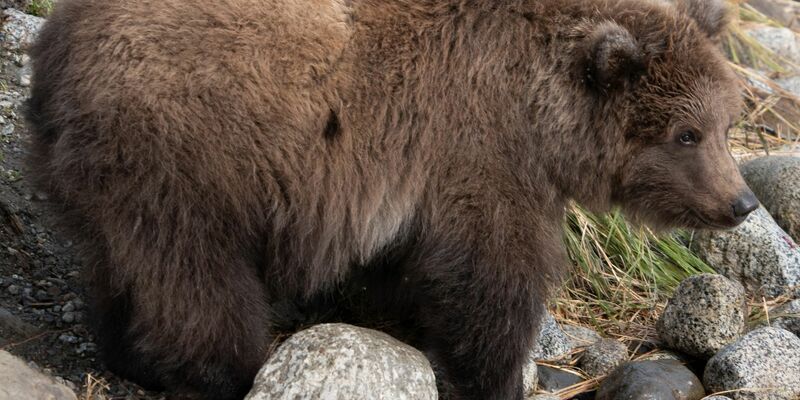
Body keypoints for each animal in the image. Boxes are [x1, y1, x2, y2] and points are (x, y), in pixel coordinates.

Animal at [24, 0, 758, 398]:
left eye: (726, 122)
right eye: (686, 133)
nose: (742, 201)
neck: (541, 106)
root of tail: (53, 52)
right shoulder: (476, 147)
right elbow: (491, 274)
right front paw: (495, 375)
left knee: (124, 262)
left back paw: (126, 349)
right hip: (188, 151)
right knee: (192, 274)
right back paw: (224, 366)